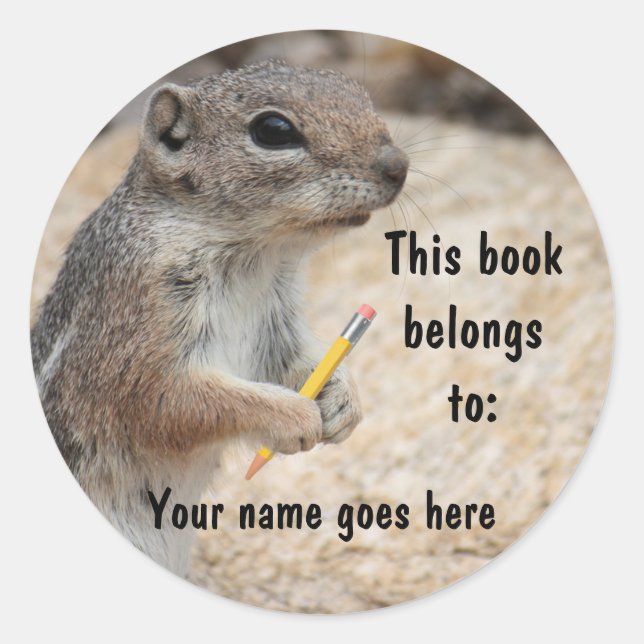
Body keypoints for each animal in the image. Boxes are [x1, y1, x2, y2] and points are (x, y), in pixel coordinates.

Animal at [31, 60, 409, 575]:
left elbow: (298, 363)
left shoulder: (276, 324)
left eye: (357, 92)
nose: (399, 165)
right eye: (273, 130)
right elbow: (170, 402)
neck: (256, 258)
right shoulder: (133, 329)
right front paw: (293, 415)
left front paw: (343, 402)